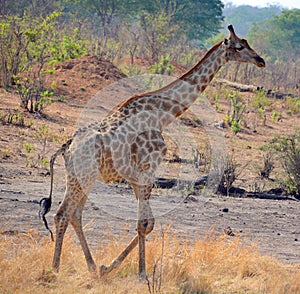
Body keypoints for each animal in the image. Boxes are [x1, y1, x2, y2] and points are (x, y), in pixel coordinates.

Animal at [39, 24, 264, 278]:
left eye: (247, 43)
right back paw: (55, 268)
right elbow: (144, 224)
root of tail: (67, 146)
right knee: (62, 214)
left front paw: (110, 267)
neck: (162, 114)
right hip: (83, 178)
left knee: (74, 215)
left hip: (79, 178)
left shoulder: (137, 178)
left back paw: (92, 266)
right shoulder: (149, 170)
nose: (261, 60)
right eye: (239, 47)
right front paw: (141, 273)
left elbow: (149, 223)